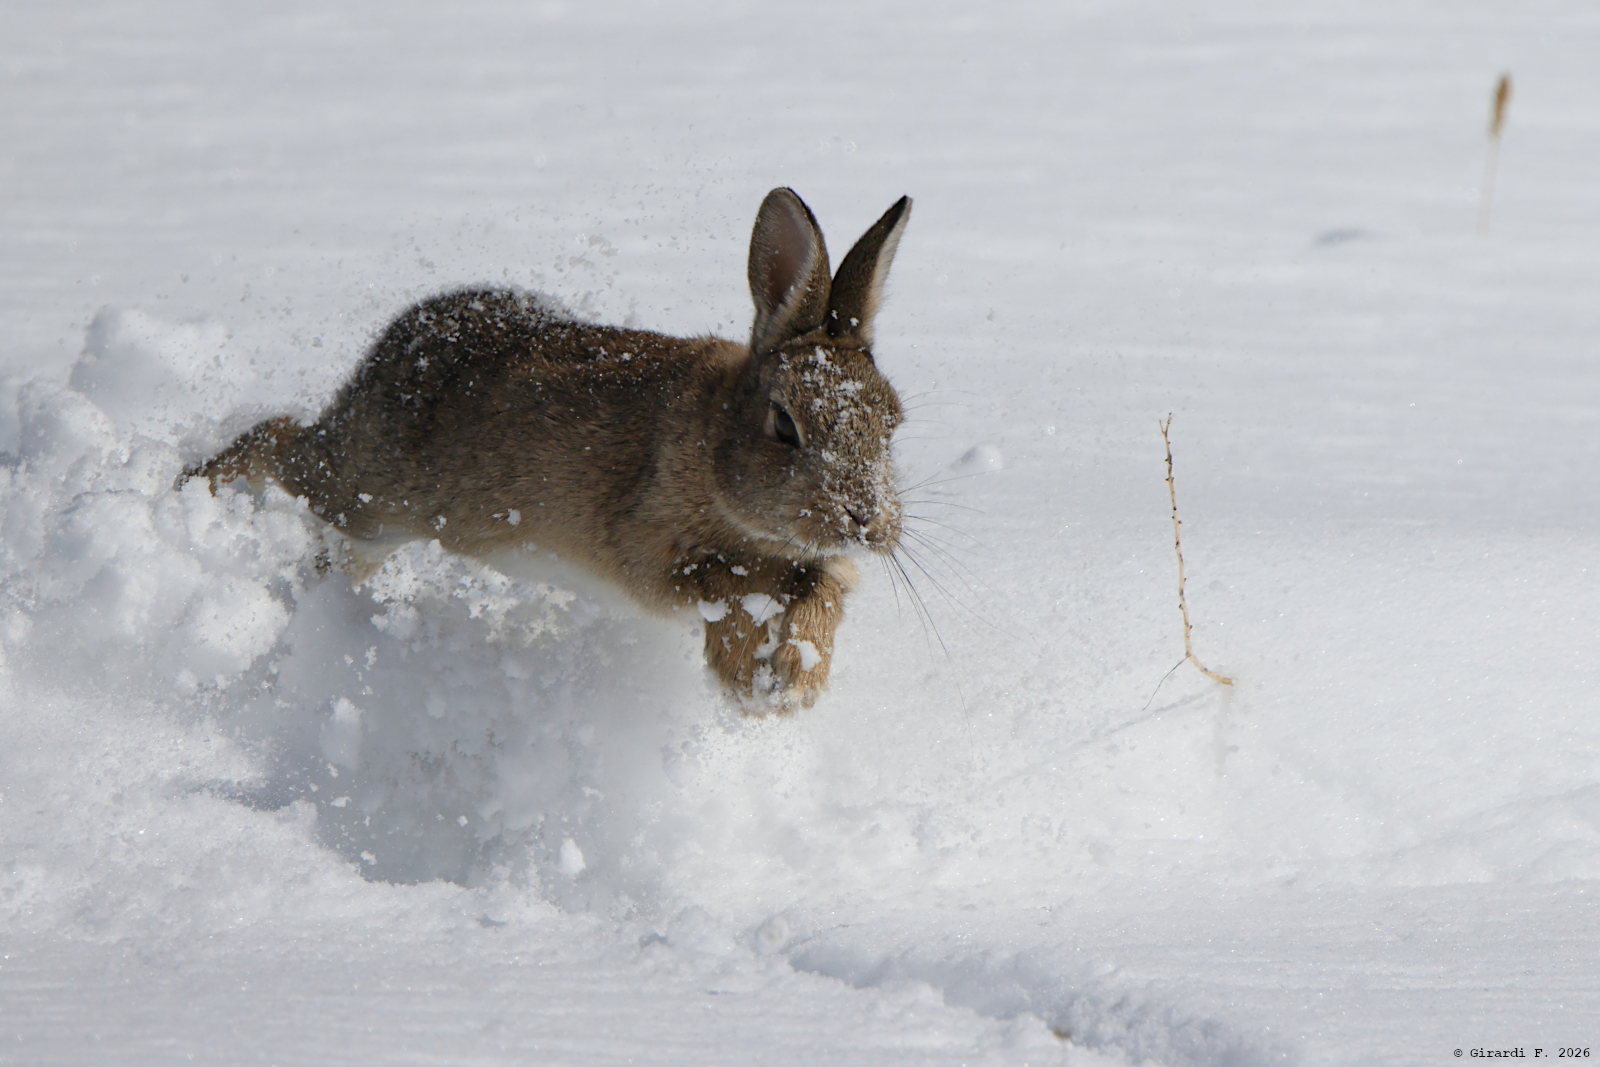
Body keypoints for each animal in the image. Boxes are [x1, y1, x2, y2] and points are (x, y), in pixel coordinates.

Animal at [183, 188, 912, 711]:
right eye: (785, 425)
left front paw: (793, 682)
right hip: (363, 488)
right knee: (279, 440)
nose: (864, 520)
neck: (712, 444)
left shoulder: (813, 567)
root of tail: (399, 339)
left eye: (893, 423)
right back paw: (191, 489)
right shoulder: (651, 552)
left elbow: (821, 592)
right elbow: (722, 586)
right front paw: (745, 681)